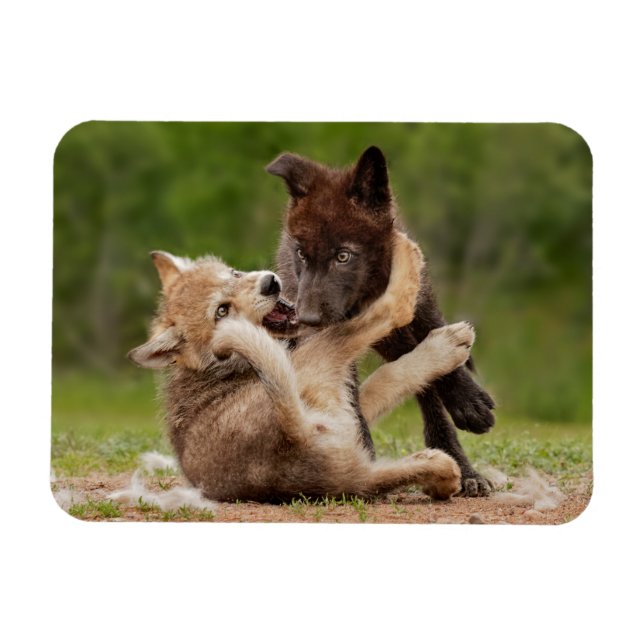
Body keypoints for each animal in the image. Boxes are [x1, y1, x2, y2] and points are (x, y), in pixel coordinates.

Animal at [128, 232, 475, 502]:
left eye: (235, 274)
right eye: (221, 311)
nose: (270, 283)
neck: (220, 368)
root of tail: (292, 438)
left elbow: (383, 383)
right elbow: (391, 367)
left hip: (354, 461)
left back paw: (443, 474)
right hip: (322, 356)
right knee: (390, 312)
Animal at [267, 146, 496, 496]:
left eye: (343, 256)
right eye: (302, 255)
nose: (305, 317)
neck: (367, 297)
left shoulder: (418, 310)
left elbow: (441, 357)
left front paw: (468, 402)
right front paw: (360, 458)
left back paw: (462, 465)